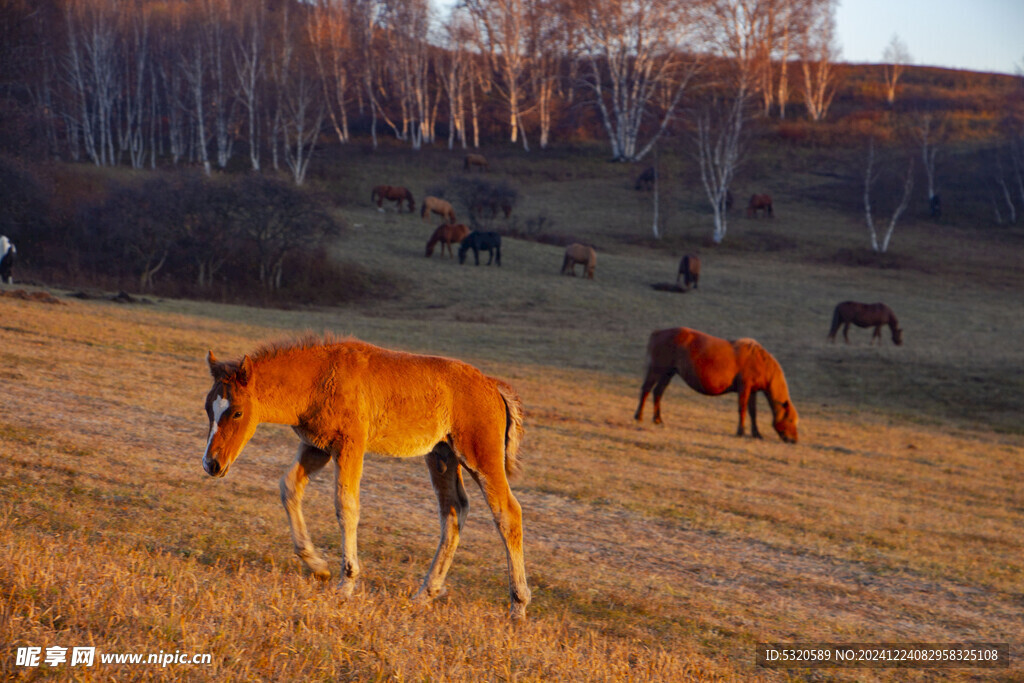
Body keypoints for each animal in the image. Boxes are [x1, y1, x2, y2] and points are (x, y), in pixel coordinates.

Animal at [202, 335, 532, 618]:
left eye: (237, 413)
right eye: (208, 408)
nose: (211, 464)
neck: (319, 377)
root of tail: (493, 386)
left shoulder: (350, 445)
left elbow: (346, 505)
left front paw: (346, 583)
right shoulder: (317, 446)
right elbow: (289, 487)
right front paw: (317, 565)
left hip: (479, 456)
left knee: (507, 513)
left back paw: (517, 605)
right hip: (442, 455)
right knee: (453, 511)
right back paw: (425, 594)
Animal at [630, 327, 798, 444]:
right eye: (790, 420)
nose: (794, 440)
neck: (760, 362)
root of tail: (657, 333)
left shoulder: (753, 391)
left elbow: (753, 412)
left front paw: (756, 434)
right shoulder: (745, 388)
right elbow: (742, 409)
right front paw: (740, 431)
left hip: (668, 373)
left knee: (658, 392)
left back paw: (658, 419)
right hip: (657, 370)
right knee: (646, 390)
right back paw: (639, 416)